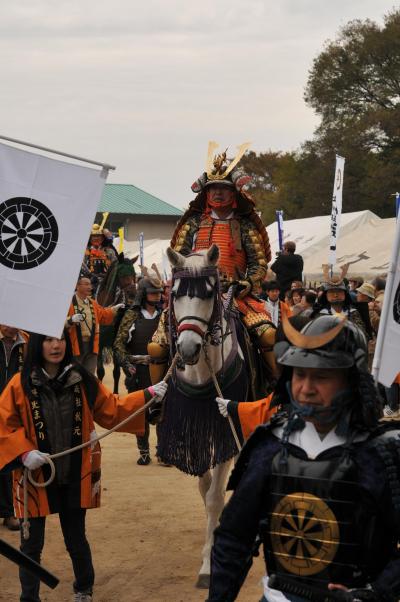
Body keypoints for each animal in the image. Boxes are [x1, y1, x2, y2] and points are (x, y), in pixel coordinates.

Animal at [157, 244, 248, 584]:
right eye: (175, 295)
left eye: (209, 294)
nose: (187, 348)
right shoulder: (194, 432)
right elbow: (204, 487)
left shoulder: (226, 429)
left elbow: (214, 497)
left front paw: (209, 564)